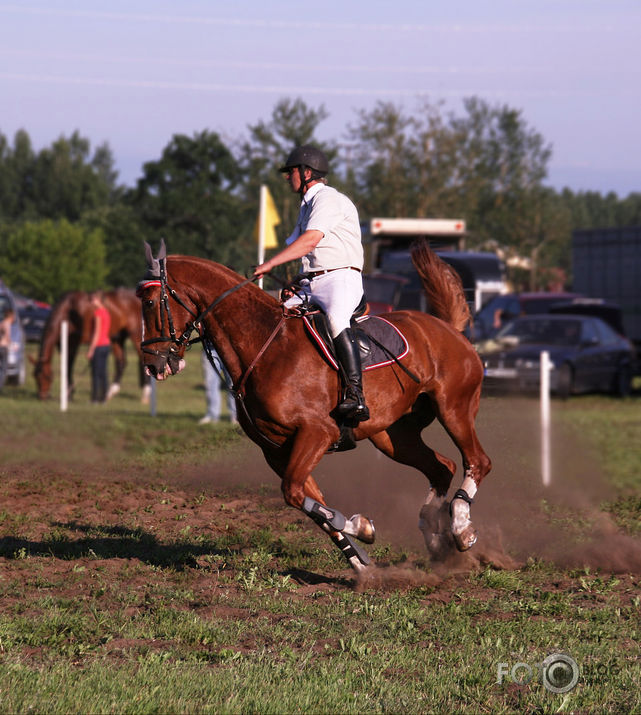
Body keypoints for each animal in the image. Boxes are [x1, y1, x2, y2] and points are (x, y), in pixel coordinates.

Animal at [138, 243, 492, 572]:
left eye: (151, 303)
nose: (153, 365)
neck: (263, 346)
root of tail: (447, 328)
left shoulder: (316, 433)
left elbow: (296, 494)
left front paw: (362, 529)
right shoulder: (278, 450)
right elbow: (312, 503)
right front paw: (361, 561)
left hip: (454, 409)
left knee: (477, 461)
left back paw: (460, 528)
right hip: (392, 436)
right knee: (442, 467)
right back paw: (436, 540)